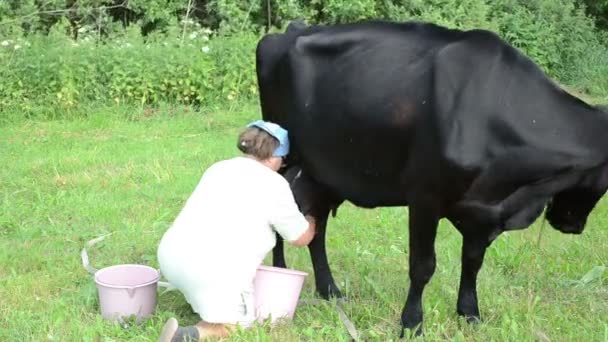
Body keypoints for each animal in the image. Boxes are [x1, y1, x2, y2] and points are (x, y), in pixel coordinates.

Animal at [255, 20, 608, 336]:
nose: (573, 226)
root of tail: (291, 29)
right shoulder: (425, 197)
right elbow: (423, 266)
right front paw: (411, 324)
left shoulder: (481, 210)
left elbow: (473, 261)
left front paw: (469, 314)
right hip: (285, 160)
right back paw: (281, 271)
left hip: (324, 173)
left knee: (317, 226)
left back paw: (330, 291)